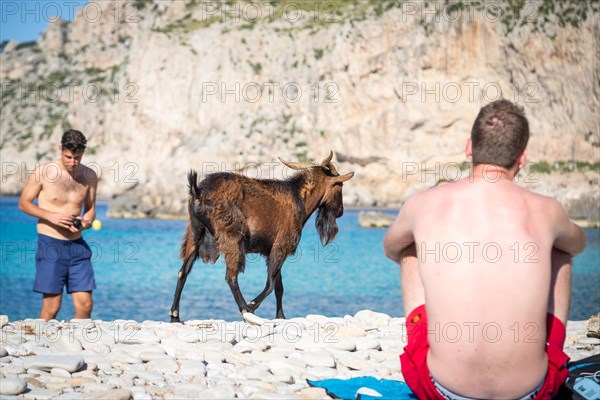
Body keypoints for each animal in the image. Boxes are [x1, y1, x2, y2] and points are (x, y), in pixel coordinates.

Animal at [169, 151, 354, 322]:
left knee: (182, 272)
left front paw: (280, 316)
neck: (299, 198)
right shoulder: (281, 245)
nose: (341, 211)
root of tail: (198, 192)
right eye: (340, 186)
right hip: (232, 238)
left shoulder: (271, 250)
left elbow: (279, 286)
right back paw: (245, 309)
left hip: (194, 234)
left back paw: (175, 315)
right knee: (231, 276)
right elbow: (271, 284)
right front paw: (253, 305)